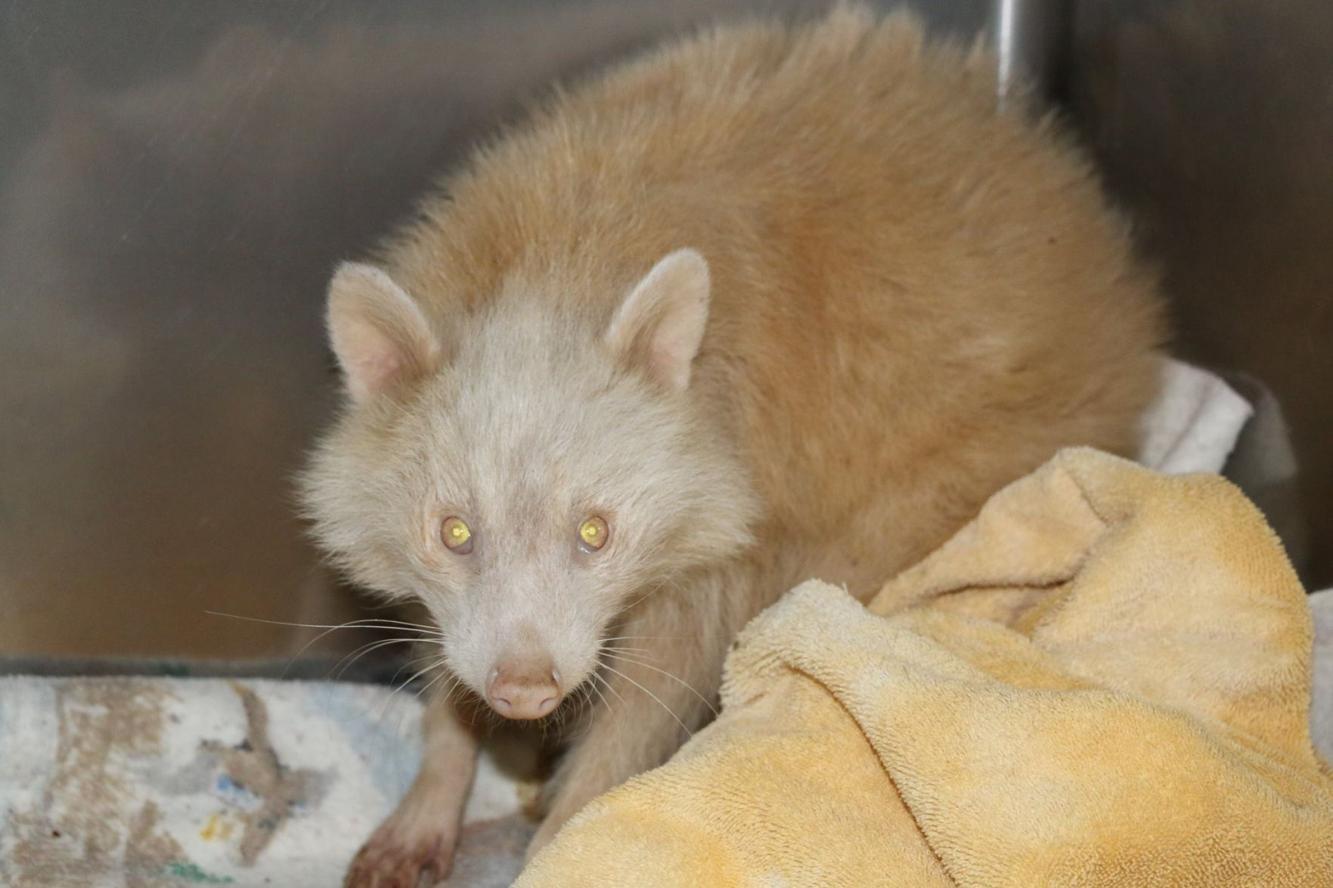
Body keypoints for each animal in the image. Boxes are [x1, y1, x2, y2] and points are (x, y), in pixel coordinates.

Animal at [299, 5, 1157, 880]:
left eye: (595, 532)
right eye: (453, 531)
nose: (524, 690)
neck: (553, 269)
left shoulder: (734, 493)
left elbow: (657, 683)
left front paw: (569, 830)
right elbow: (446, 634)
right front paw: (441, 764)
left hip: (976, 461)